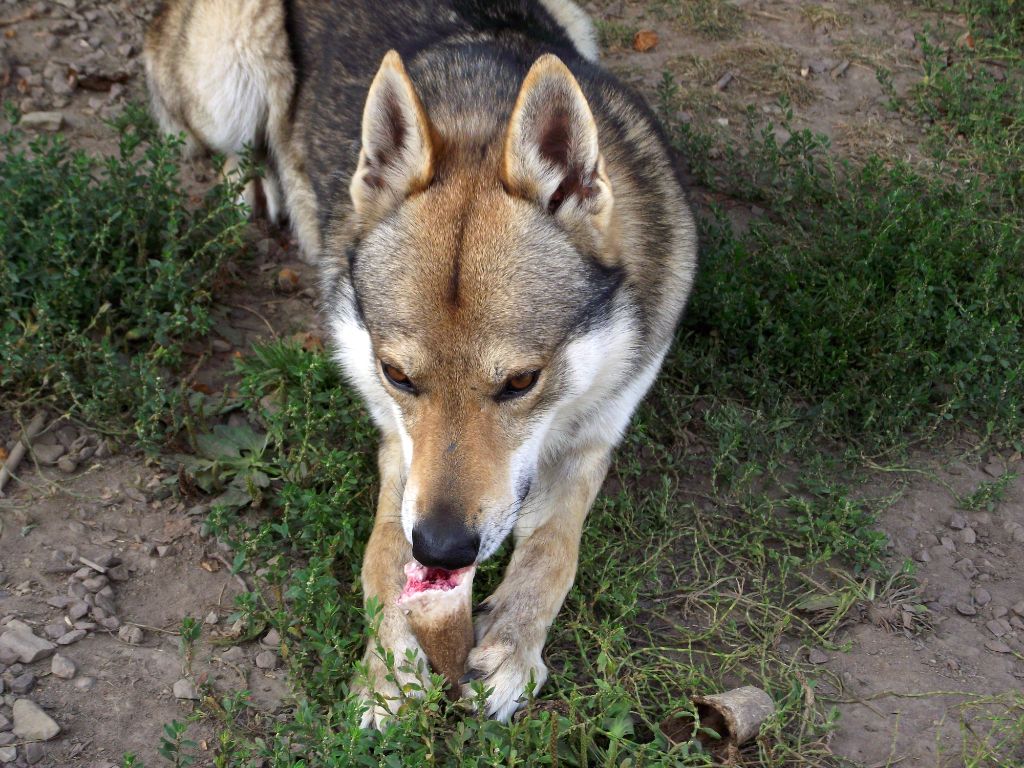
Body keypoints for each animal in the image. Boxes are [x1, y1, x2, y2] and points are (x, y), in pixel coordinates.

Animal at [146, 0, 696, 729]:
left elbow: (554, 552)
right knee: (226, 147)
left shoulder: (594, 438)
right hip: (227, 73)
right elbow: (380, 555)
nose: (441, 550)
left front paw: (510, 650)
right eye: (398, 375)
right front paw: (386, 670)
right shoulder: (397, 447)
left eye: (521, 382)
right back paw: (260, 191)